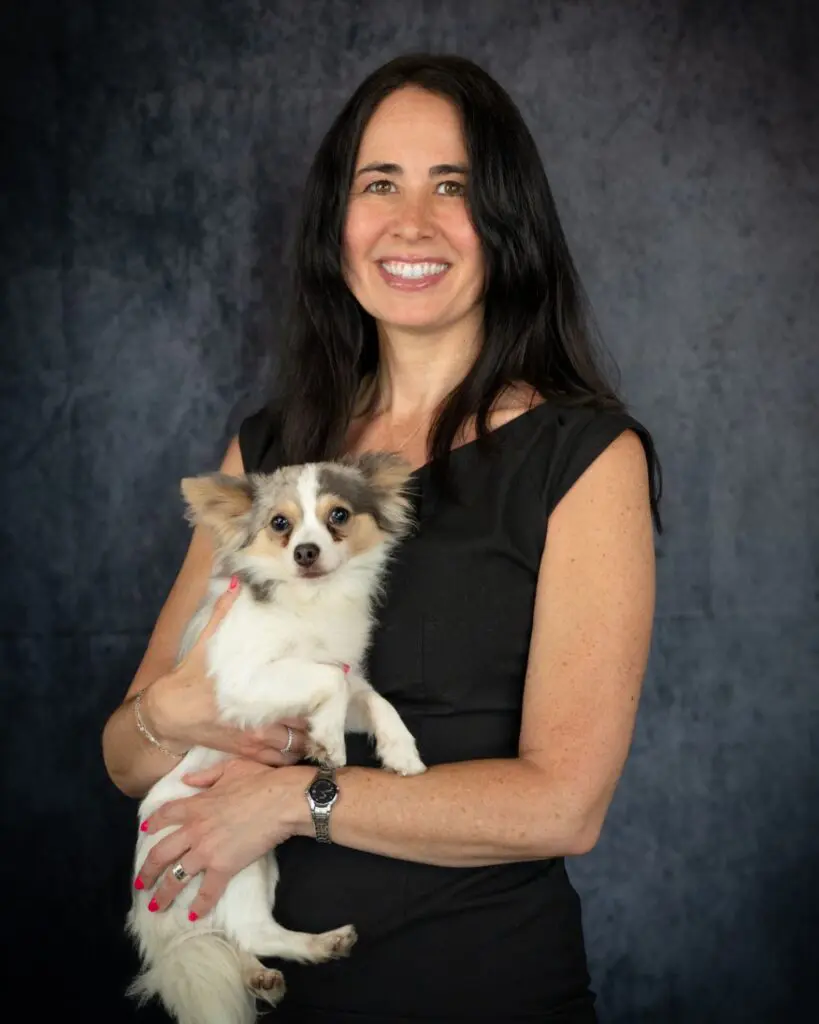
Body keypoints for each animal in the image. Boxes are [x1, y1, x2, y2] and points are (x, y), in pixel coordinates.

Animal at [126, 454, 427, 1024]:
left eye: (338, 515)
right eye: (280, 524)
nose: (305, 552)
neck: (311, 602)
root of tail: (152, 923)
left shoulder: (346, 674)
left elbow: (369, 695)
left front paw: (401, 750)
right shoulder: (242, 682)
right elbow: (328, 679)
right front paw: (328, 743)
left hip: (250, 859)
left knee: (248, 933)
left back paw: (296, 956)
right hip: (223, 864)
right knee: (238, 931)